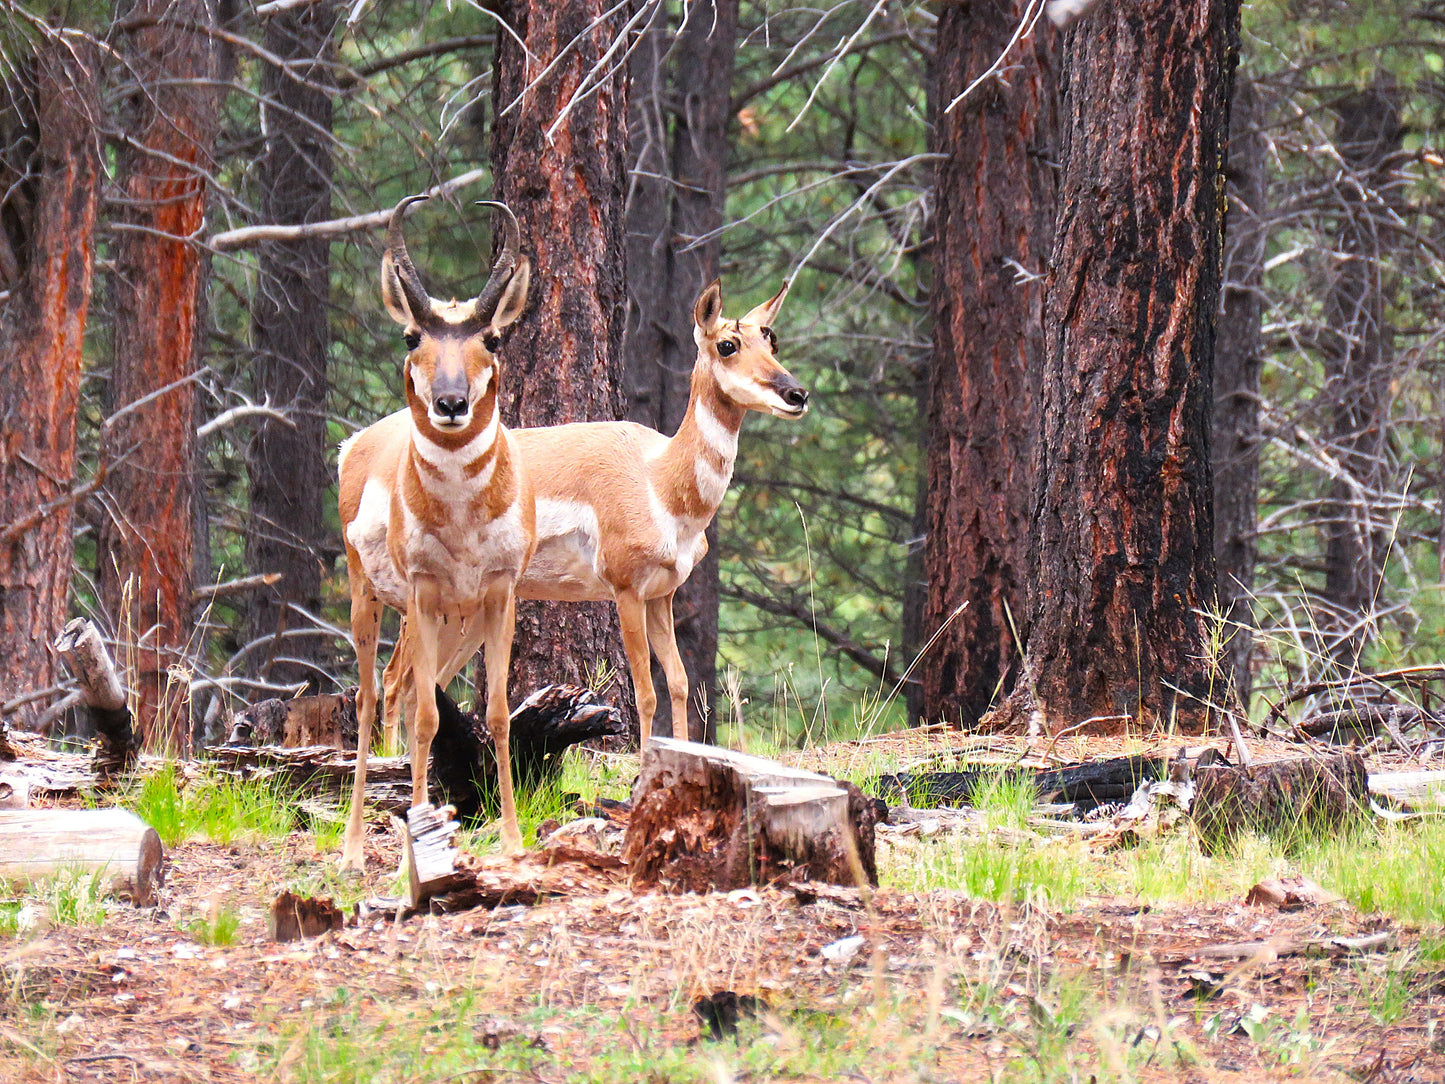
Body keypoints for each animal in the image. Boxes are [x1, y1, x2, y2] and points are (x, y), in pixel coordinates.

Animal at [341, 195, 534, 867]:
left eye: (492, 336)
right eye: (412, 335)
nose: (451, 403)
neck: (463, 521)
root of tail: (357, 445)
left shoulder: (499, 596)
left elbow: (498, 714)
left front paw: (512, 842)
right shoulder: (423, 591)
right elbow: (427, 717)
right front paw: (414, 844)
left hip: (456, 626)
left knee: (400, 687)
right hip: (374, 601)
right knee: (373, 696)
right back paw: (352, 848)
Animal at [378, 280, 809, 745]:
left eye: (771, 339)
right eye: (727, 344)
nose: (797, 394)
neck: (657, 479)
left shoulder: (662, 595)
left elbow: (678, 682)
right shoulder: (626, 591)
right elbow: (646, 693)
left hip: (467, 613)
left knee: (421, 687)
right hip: (421, 603)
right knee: (394, 680)